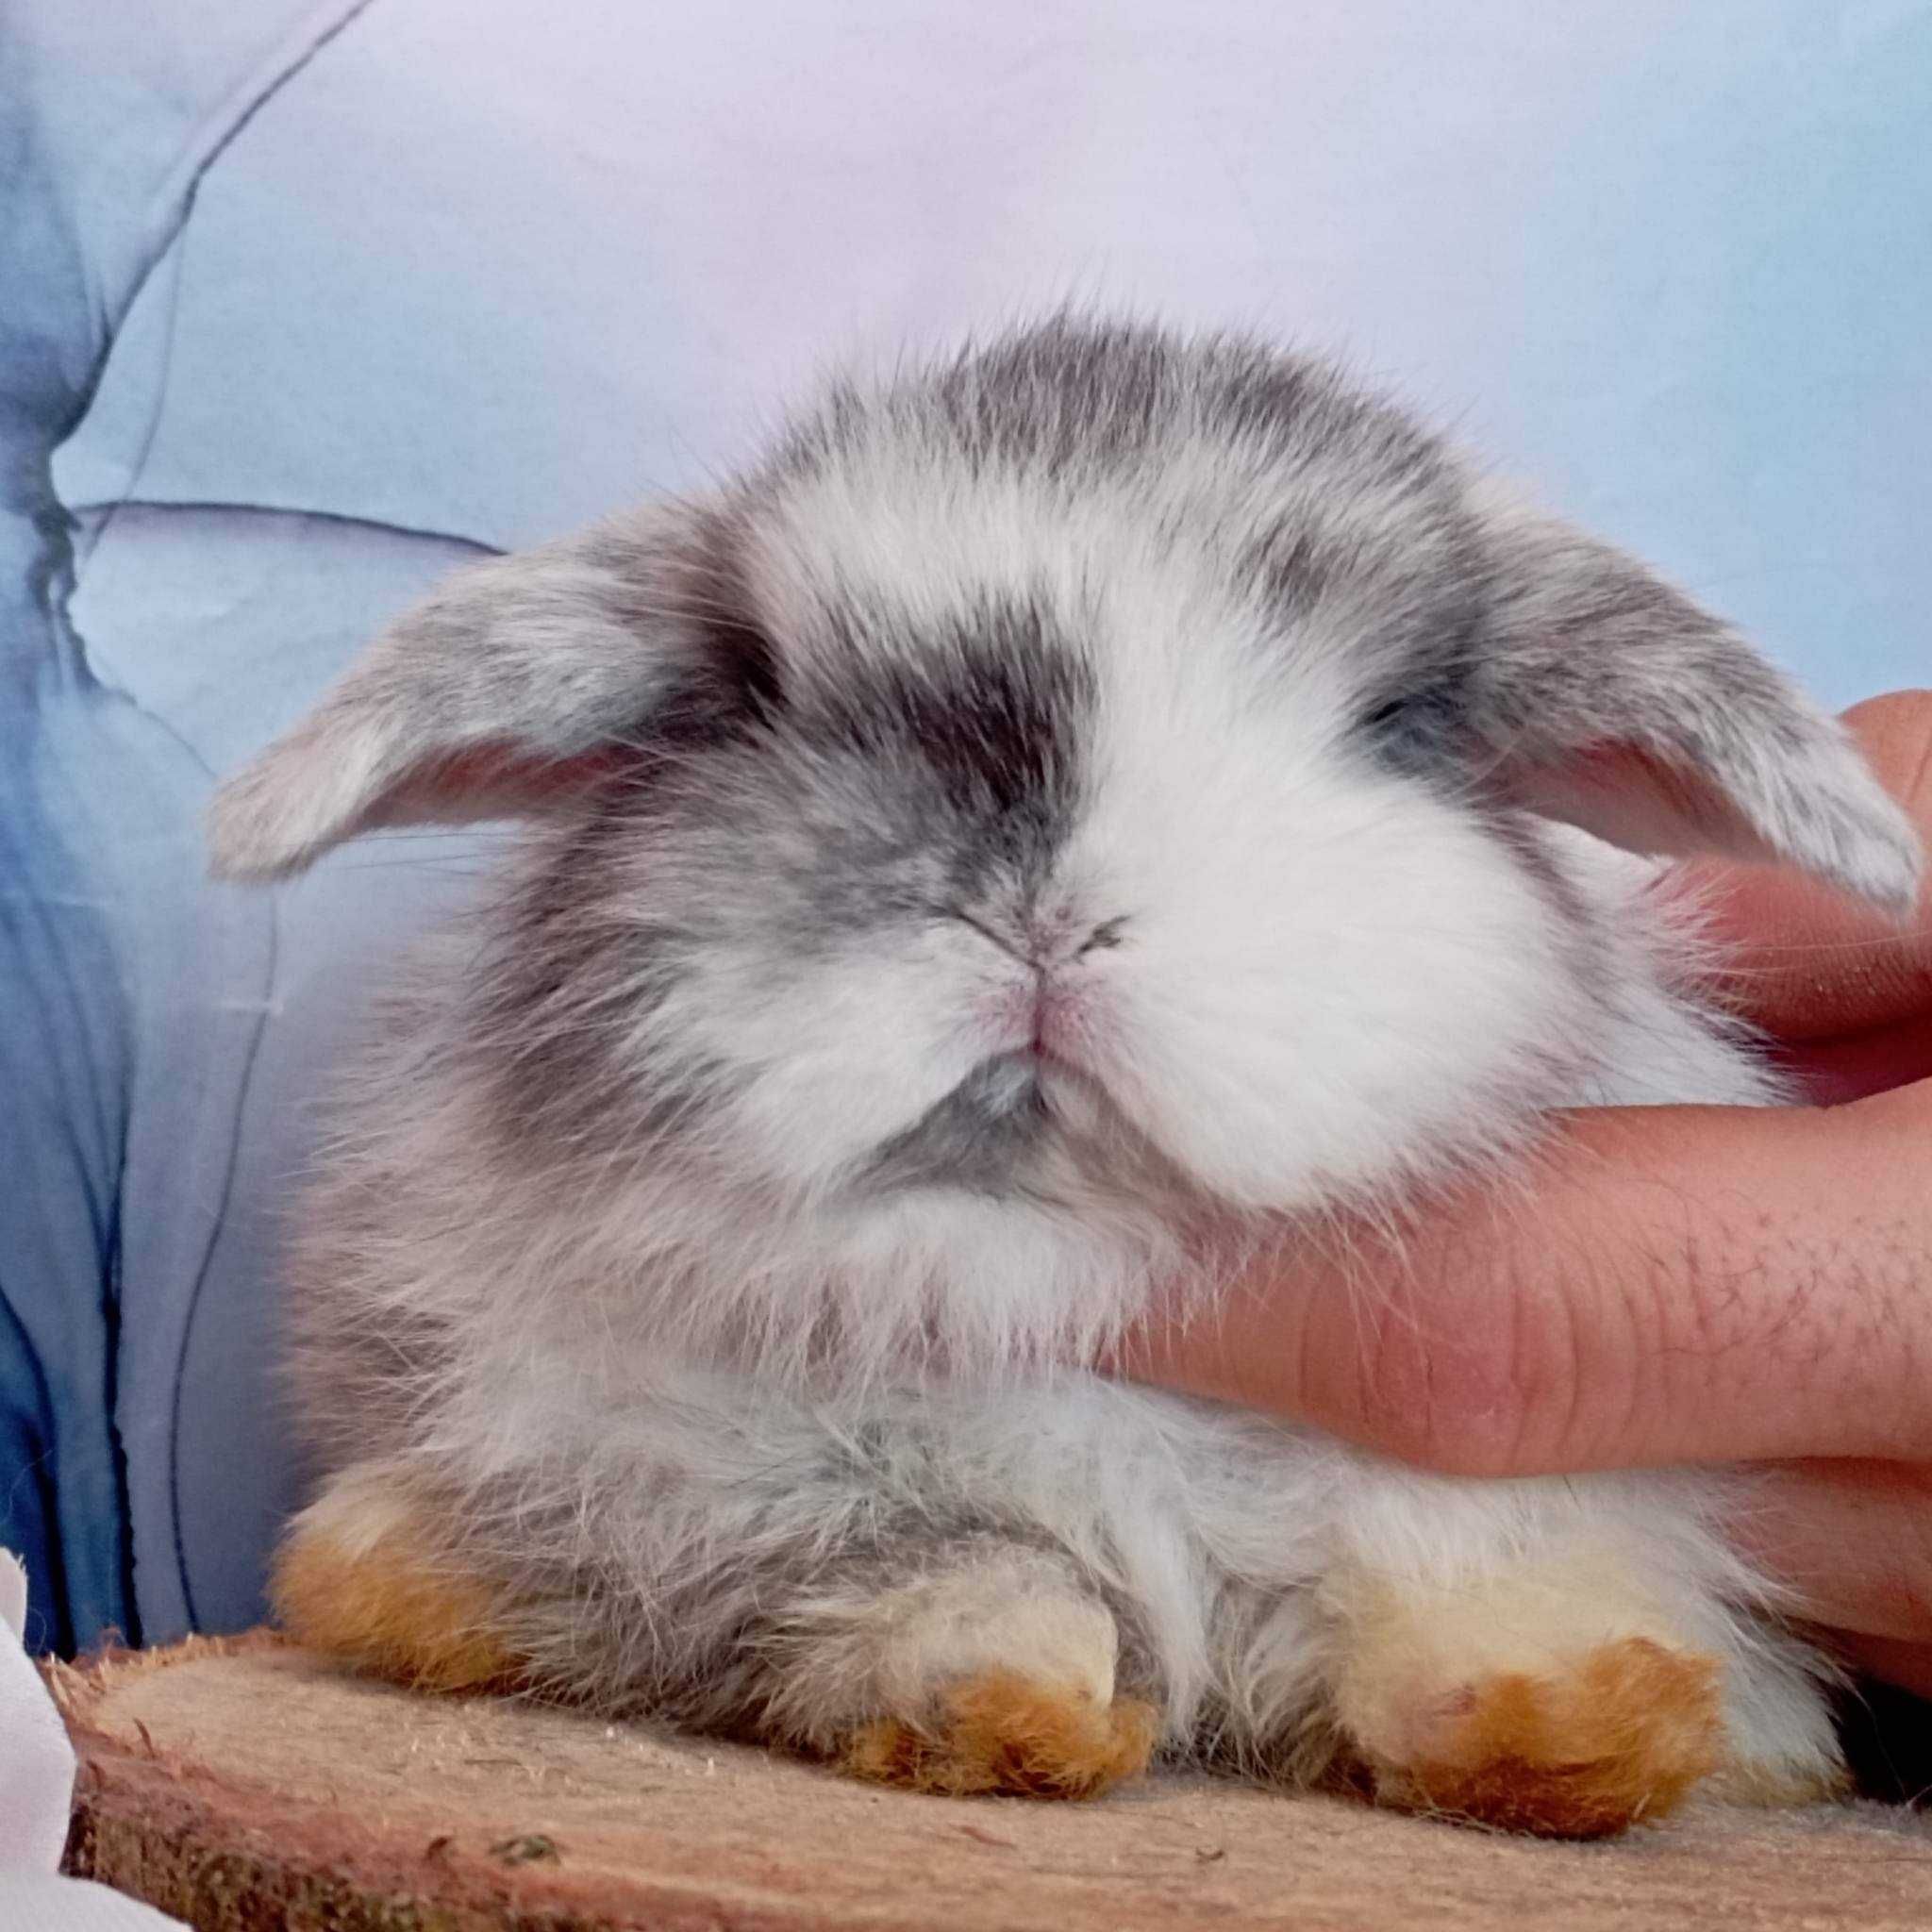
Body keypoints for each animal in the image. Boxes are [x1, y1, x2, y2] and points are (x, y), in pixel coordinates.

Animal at [204, 320, 1924, 1839]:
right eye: (749, 684)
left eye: (1401, 722)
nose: (1034, 905)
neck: (1048, 1247)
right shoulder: (707, 1482)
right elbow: (943, 1565)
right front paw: (1008, 1702)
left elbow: (1462, 1584)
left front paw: (1580, 1719)